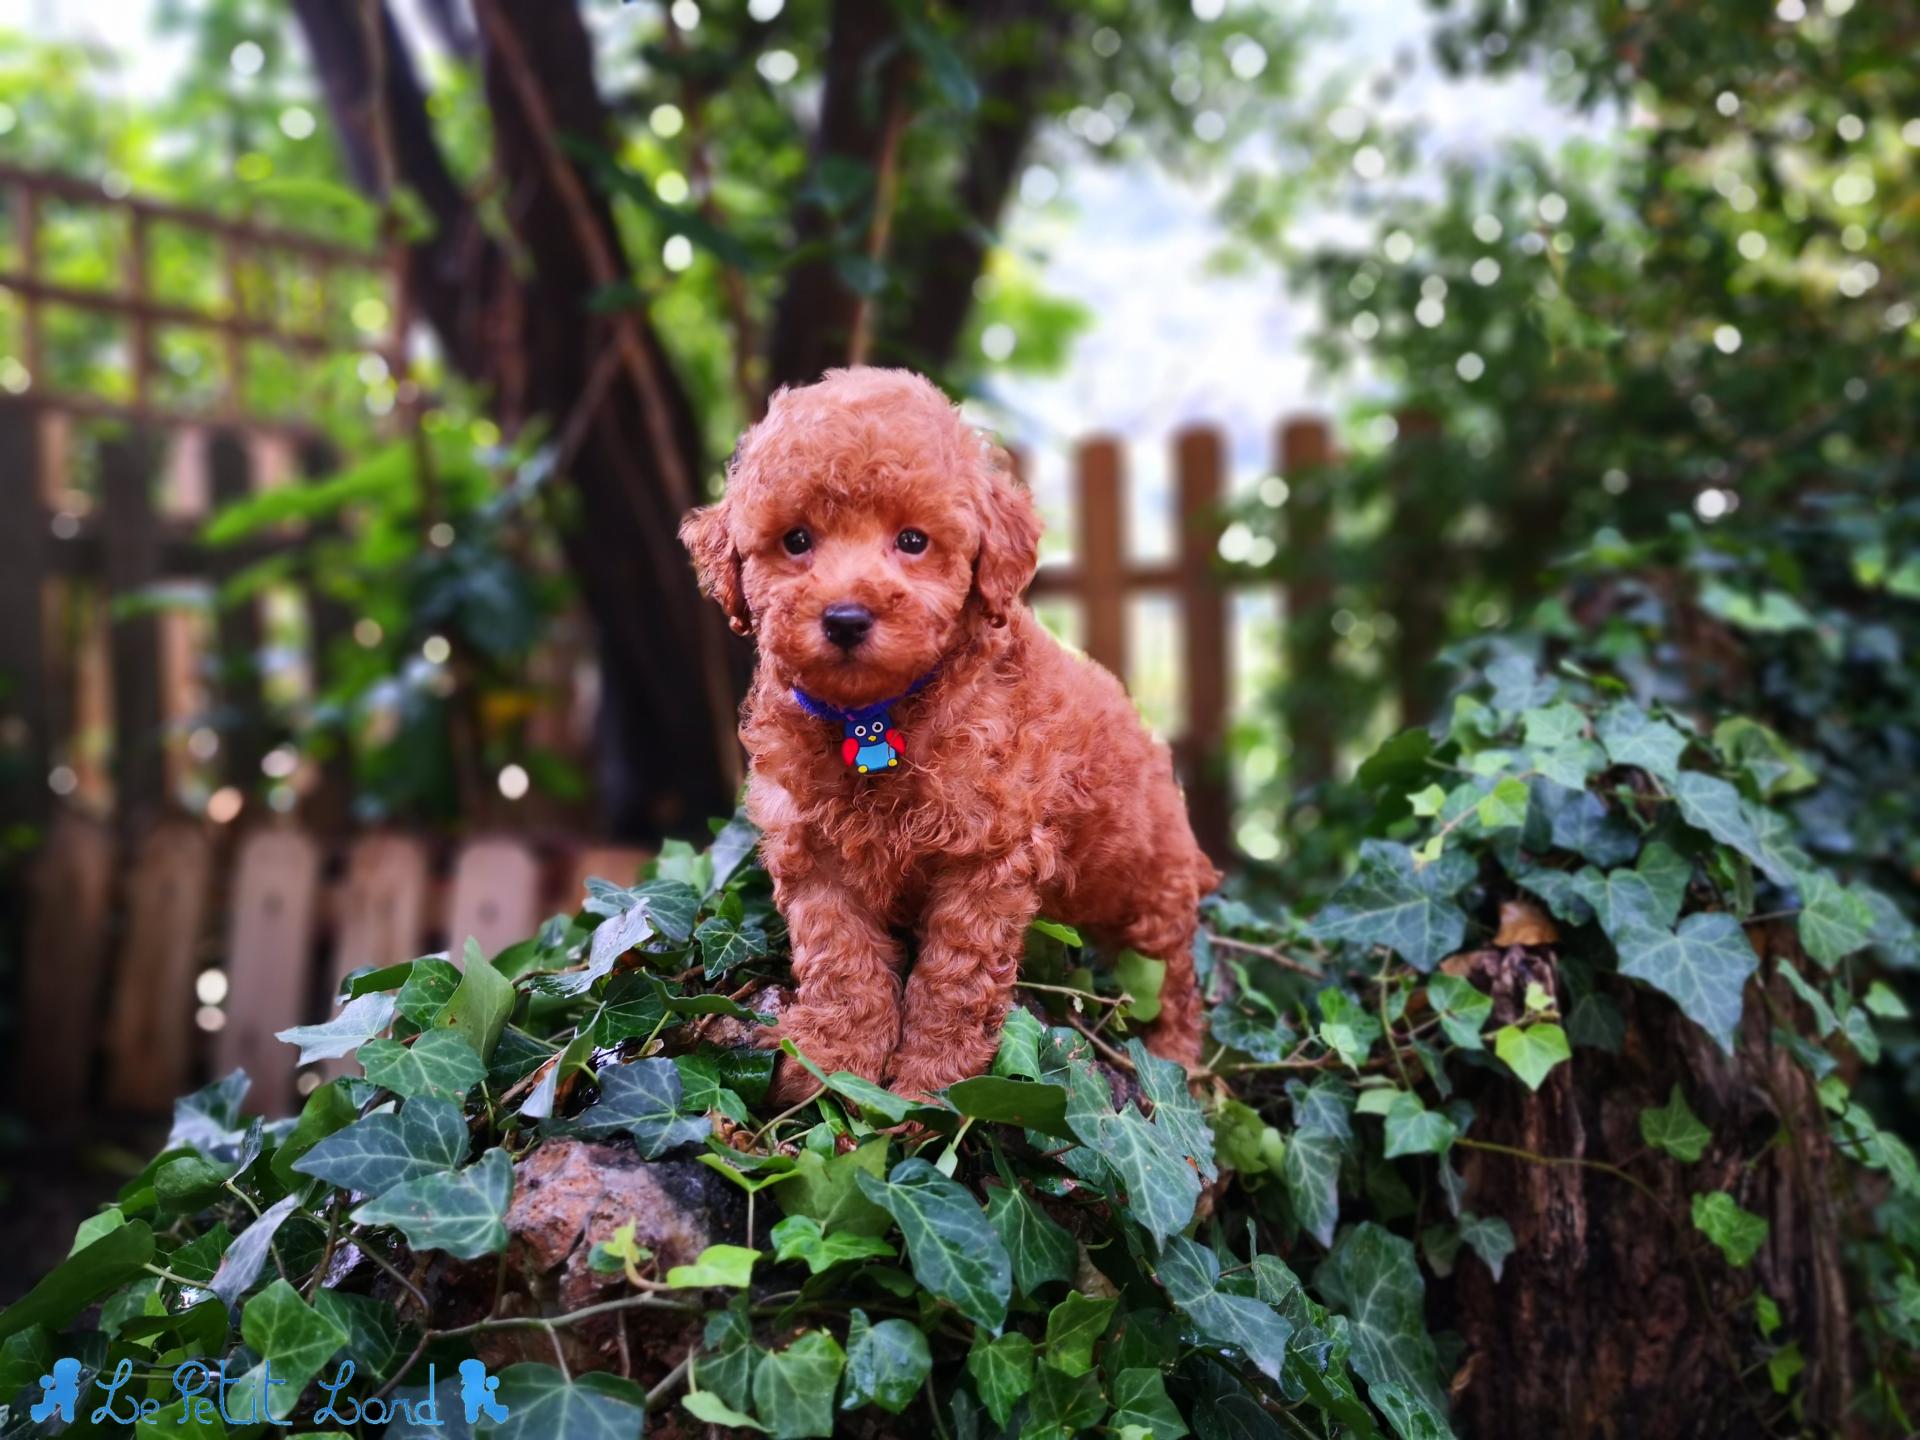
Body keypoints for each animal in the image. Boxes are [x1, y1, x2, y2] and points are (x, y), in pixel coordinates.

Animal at [679, 372, 1213, 1105]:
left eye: (912, 541)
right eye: (795, 541)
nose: (846, 618)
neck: (874, 718)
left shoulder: (986, 857)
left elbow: (952, 980)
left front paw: (929, 1087)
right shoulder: (814, 852)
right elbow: (841, 959)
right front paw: (831, 1063)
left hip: (1146, 884)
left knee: (1173, 977)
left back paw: (1177, 1062)